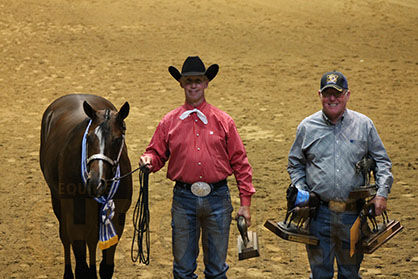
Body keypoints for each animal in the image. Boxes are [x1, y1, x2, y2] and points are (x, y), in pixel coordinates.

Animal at [39, 95, 132, 278]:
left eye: (118, 140)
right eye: (88, 137)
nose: (95, 183)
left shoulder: (117, 218)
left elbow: (106, 267)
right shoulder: (76, 219)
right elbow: (82, 268)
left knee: (91, 240)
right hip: (58, 201)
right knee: (65, 237)